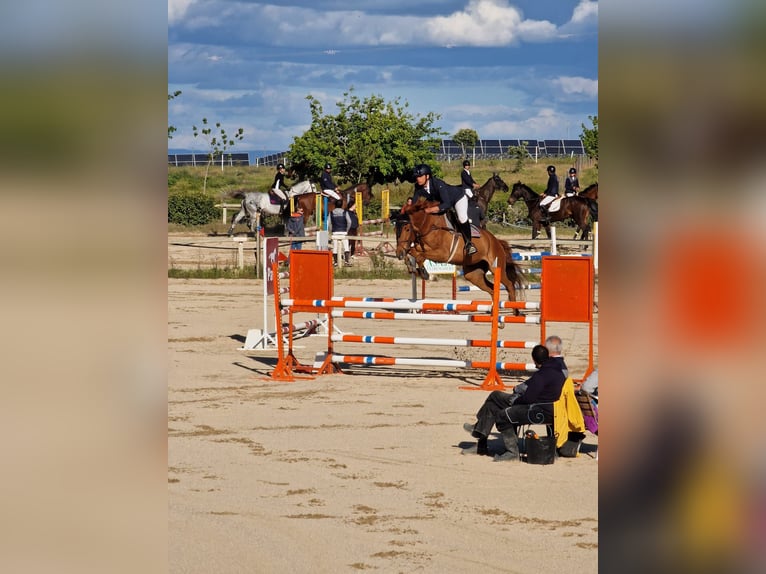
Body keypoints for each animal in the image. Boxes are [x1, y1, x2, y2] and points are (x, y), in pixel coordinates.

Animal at [396, 200, 528, 306]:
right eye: (396, 229)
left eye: (407, 229)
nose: (398, 253)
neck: (430, 227)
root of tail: (497, 241)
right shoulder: (419, 247)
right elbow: (414, 252)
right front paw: (412, 267)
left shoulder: (443, 254)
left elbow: (420, 256)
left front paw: (424, 273)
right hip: (473, 274)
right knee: (491, 289)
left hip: (496, 267)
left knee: (510, 285)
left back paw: (515, 311)